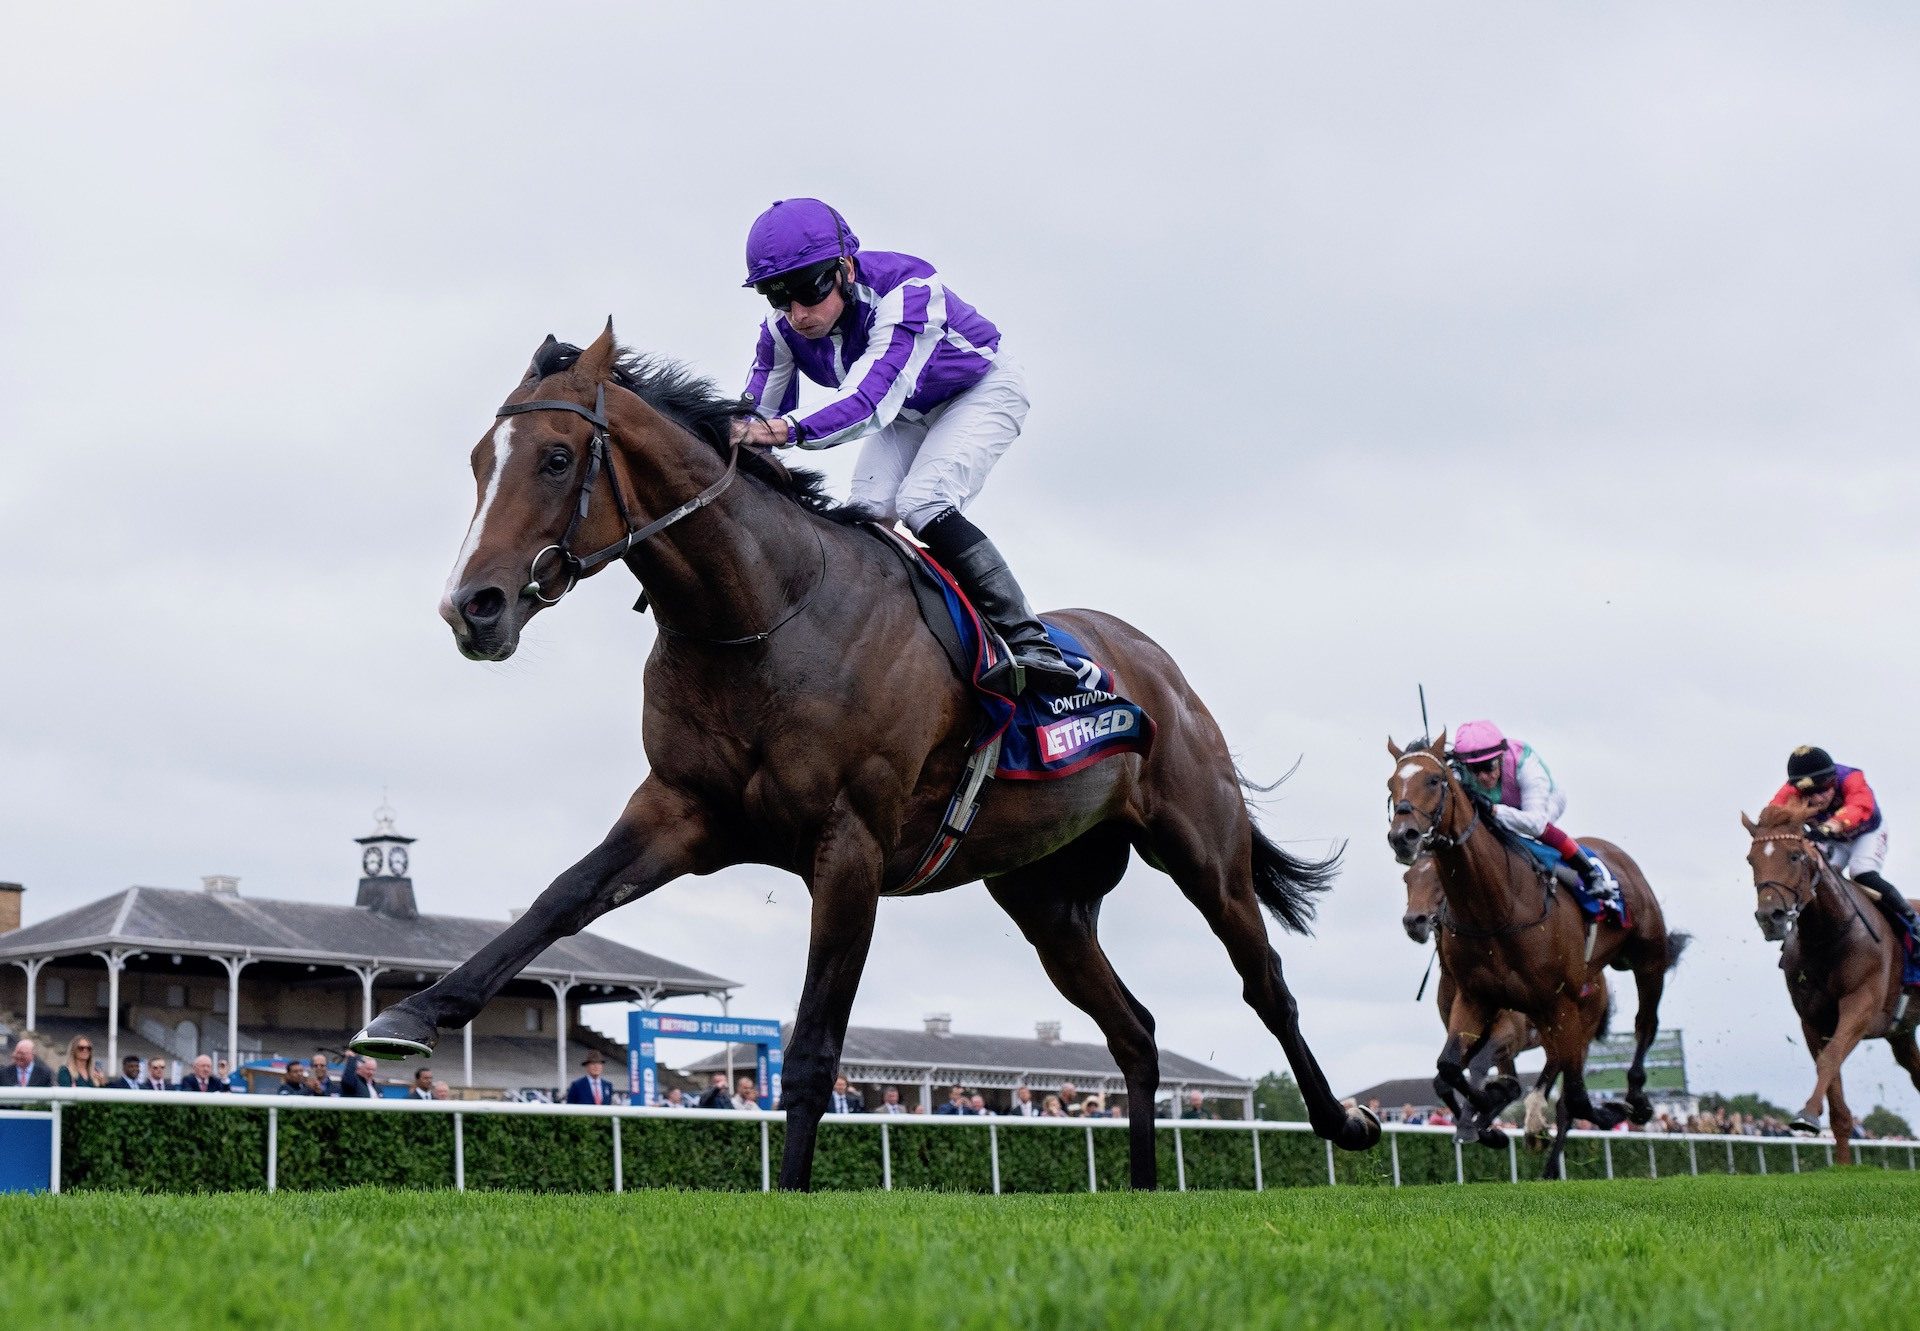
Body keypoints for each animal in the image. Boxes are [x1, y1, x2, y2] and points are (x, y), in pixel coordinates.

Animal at [349, 326, 1382, 1190]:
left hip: (1200, 844)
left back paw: (1345, 1121)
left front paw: (795, 1195)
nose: (472, 607)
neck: (764, 617)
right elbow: (559, 900)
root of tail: (1152, 660)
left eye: (558, 458)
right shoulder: (681, 809)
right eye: (479, 461)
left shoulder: (847, 845)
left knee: (1265, 982)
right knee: (1134, 1030)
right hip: (1047, 898)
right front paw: (409, 1016)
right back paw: (1138, 1187)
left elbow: (813, 1046)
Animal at [1382, 733, 1681, 1175]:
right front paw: (1486, 1123)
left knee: (1643, 1025)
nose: (1403, 836)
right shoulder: (1477, 1000)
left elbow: (1569, 1096)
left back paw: (1633, 1100)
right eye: (1391, 785)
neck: (1497, 909)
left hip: (1642, 964)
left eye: (1435, 780)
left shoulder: (1546, 1010)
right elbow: (1450, 1069)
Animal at [1743, 795, 1920, 1160]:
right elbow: (1834, 1088)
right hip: (1902, 1032)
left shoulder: (1860, 1005)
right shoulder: (1813, 1020)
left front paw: (1806, 1115)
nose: (1770, 917)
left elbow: (1830, 1058)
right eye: (1751, 859)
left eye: (1794, 856)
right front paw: (1841, 1163)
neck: (1828, 937)